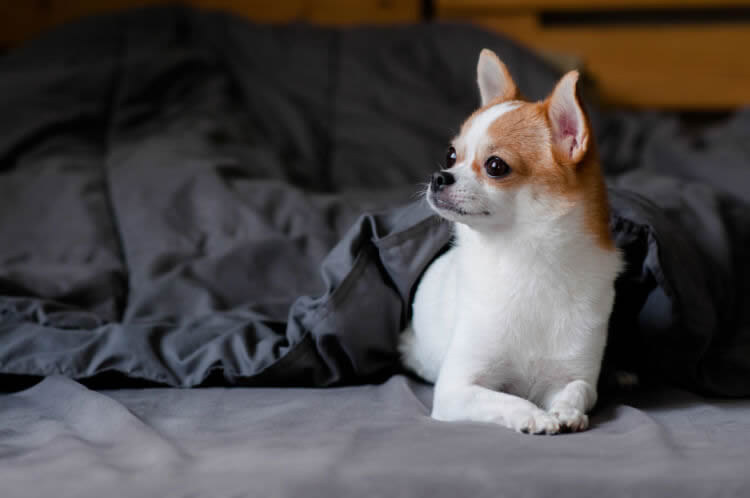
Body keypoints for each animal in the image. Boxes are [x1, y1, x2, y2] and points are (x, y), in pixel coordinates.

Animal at [402, 48, 624, 434]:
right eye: (450, 156)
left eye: (495, 166)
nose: (438, 176)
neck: (525, 257)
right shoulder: (456, 388)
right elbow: (505, 399)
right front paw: (534, 416)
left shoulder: (572, 375)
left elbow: (578, 390)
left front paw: (566, 412)